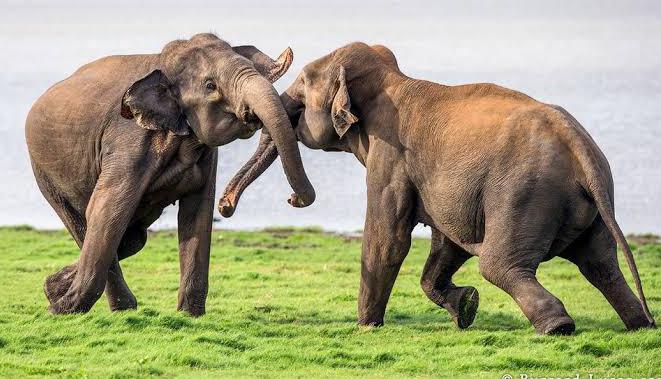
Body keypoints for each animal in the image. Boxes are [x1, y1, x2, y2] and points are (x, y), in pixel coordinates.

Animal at [25, 32, 314, 316]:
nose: (227, 206)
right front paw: (61, 311)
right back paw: (102, 305)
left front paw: (189, 315)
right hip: (45, 174)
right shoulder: (127, 142)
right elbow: (106, 208)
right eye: (210, 86)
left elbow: (197, 212)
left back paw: (57, 289)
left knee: (132, 239)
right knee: (88, 224)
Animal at [218, 42, 656, 336]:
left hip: (524, 196)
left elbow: (388, 238)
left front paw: (366, 326)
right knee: (600, 264)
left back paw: (558, 327)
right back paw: (640, 325)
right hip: (586, 204)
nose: (225, 207)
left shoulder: (390, 156)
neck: (392, 79)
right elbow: (448, 242)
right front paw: (466, 307)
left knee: (499, 264)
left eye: (304, 83)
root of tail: (578, 144)